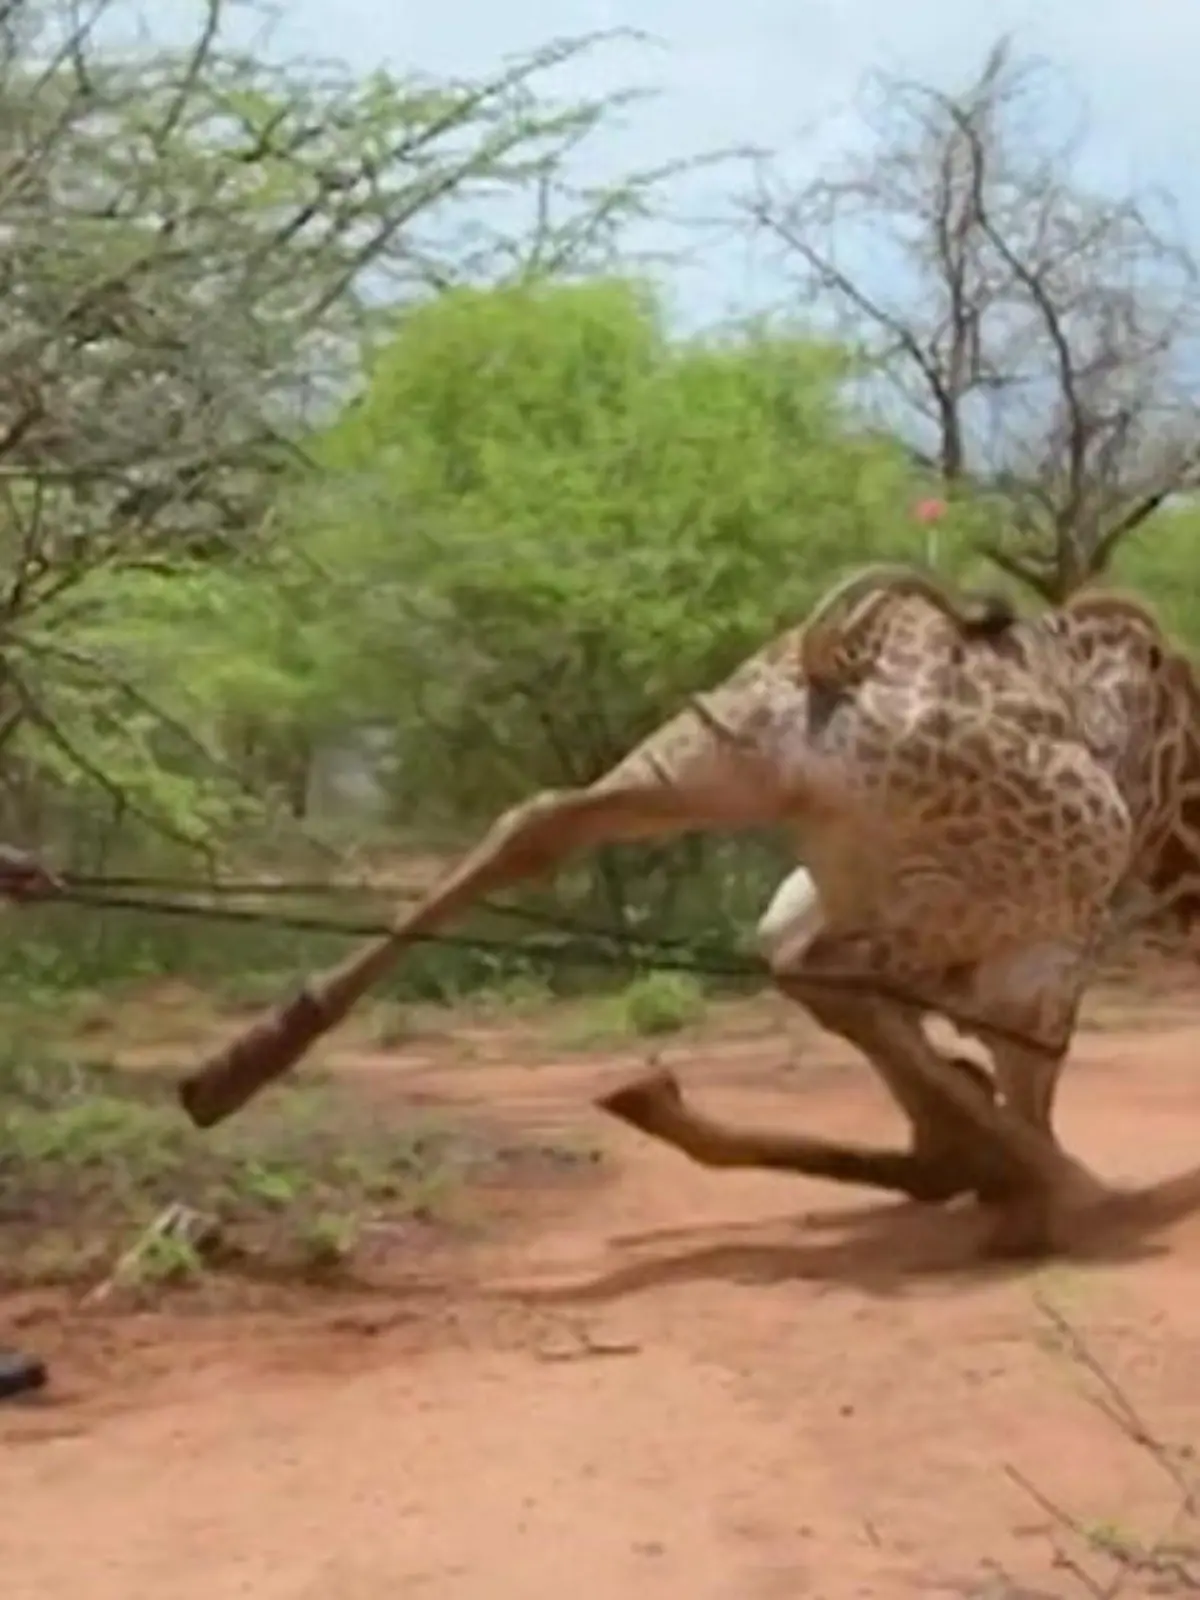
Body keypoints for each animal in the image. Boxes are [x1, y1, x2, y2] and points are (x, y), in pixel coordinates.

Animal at [177, 563, 1190, 1256]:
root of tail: (837, 660)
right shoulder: (1045, 947)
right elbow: (1012, 1082)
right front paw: (1027, 1195)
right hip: (1012, 880)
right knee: (822, 972)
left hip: (716, 748)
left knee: (543, 817)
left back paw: (227, 1070)